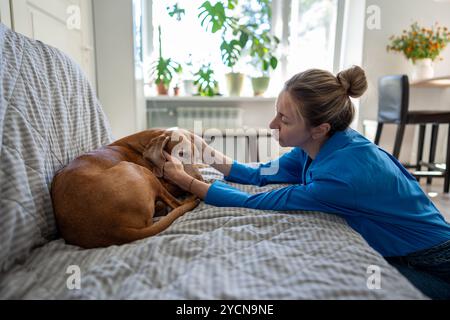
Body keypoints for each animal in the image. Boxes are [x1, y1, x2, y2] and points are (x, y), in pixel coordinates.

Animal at [50, 129, 202, 249]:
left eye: (195, 155)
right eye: (181, 153)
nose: (200, 179)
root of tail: (112, 229)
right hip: (138, 170)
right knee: (177, 204)